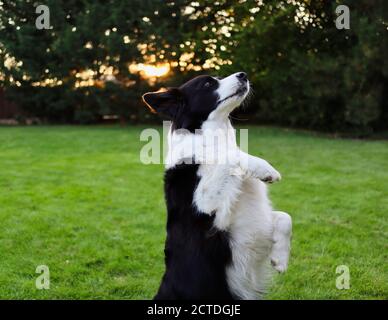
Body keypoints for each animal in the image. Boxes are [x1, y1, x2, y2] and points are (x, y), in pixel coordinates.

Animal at [142, 72, 292, 300]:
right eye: (207, 83)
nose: (243, 74)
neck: (210, 140)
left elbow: (285, 217)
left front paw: (280, 259)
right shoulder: (204, 208)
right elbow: (231, 155)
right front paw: (264, 168)